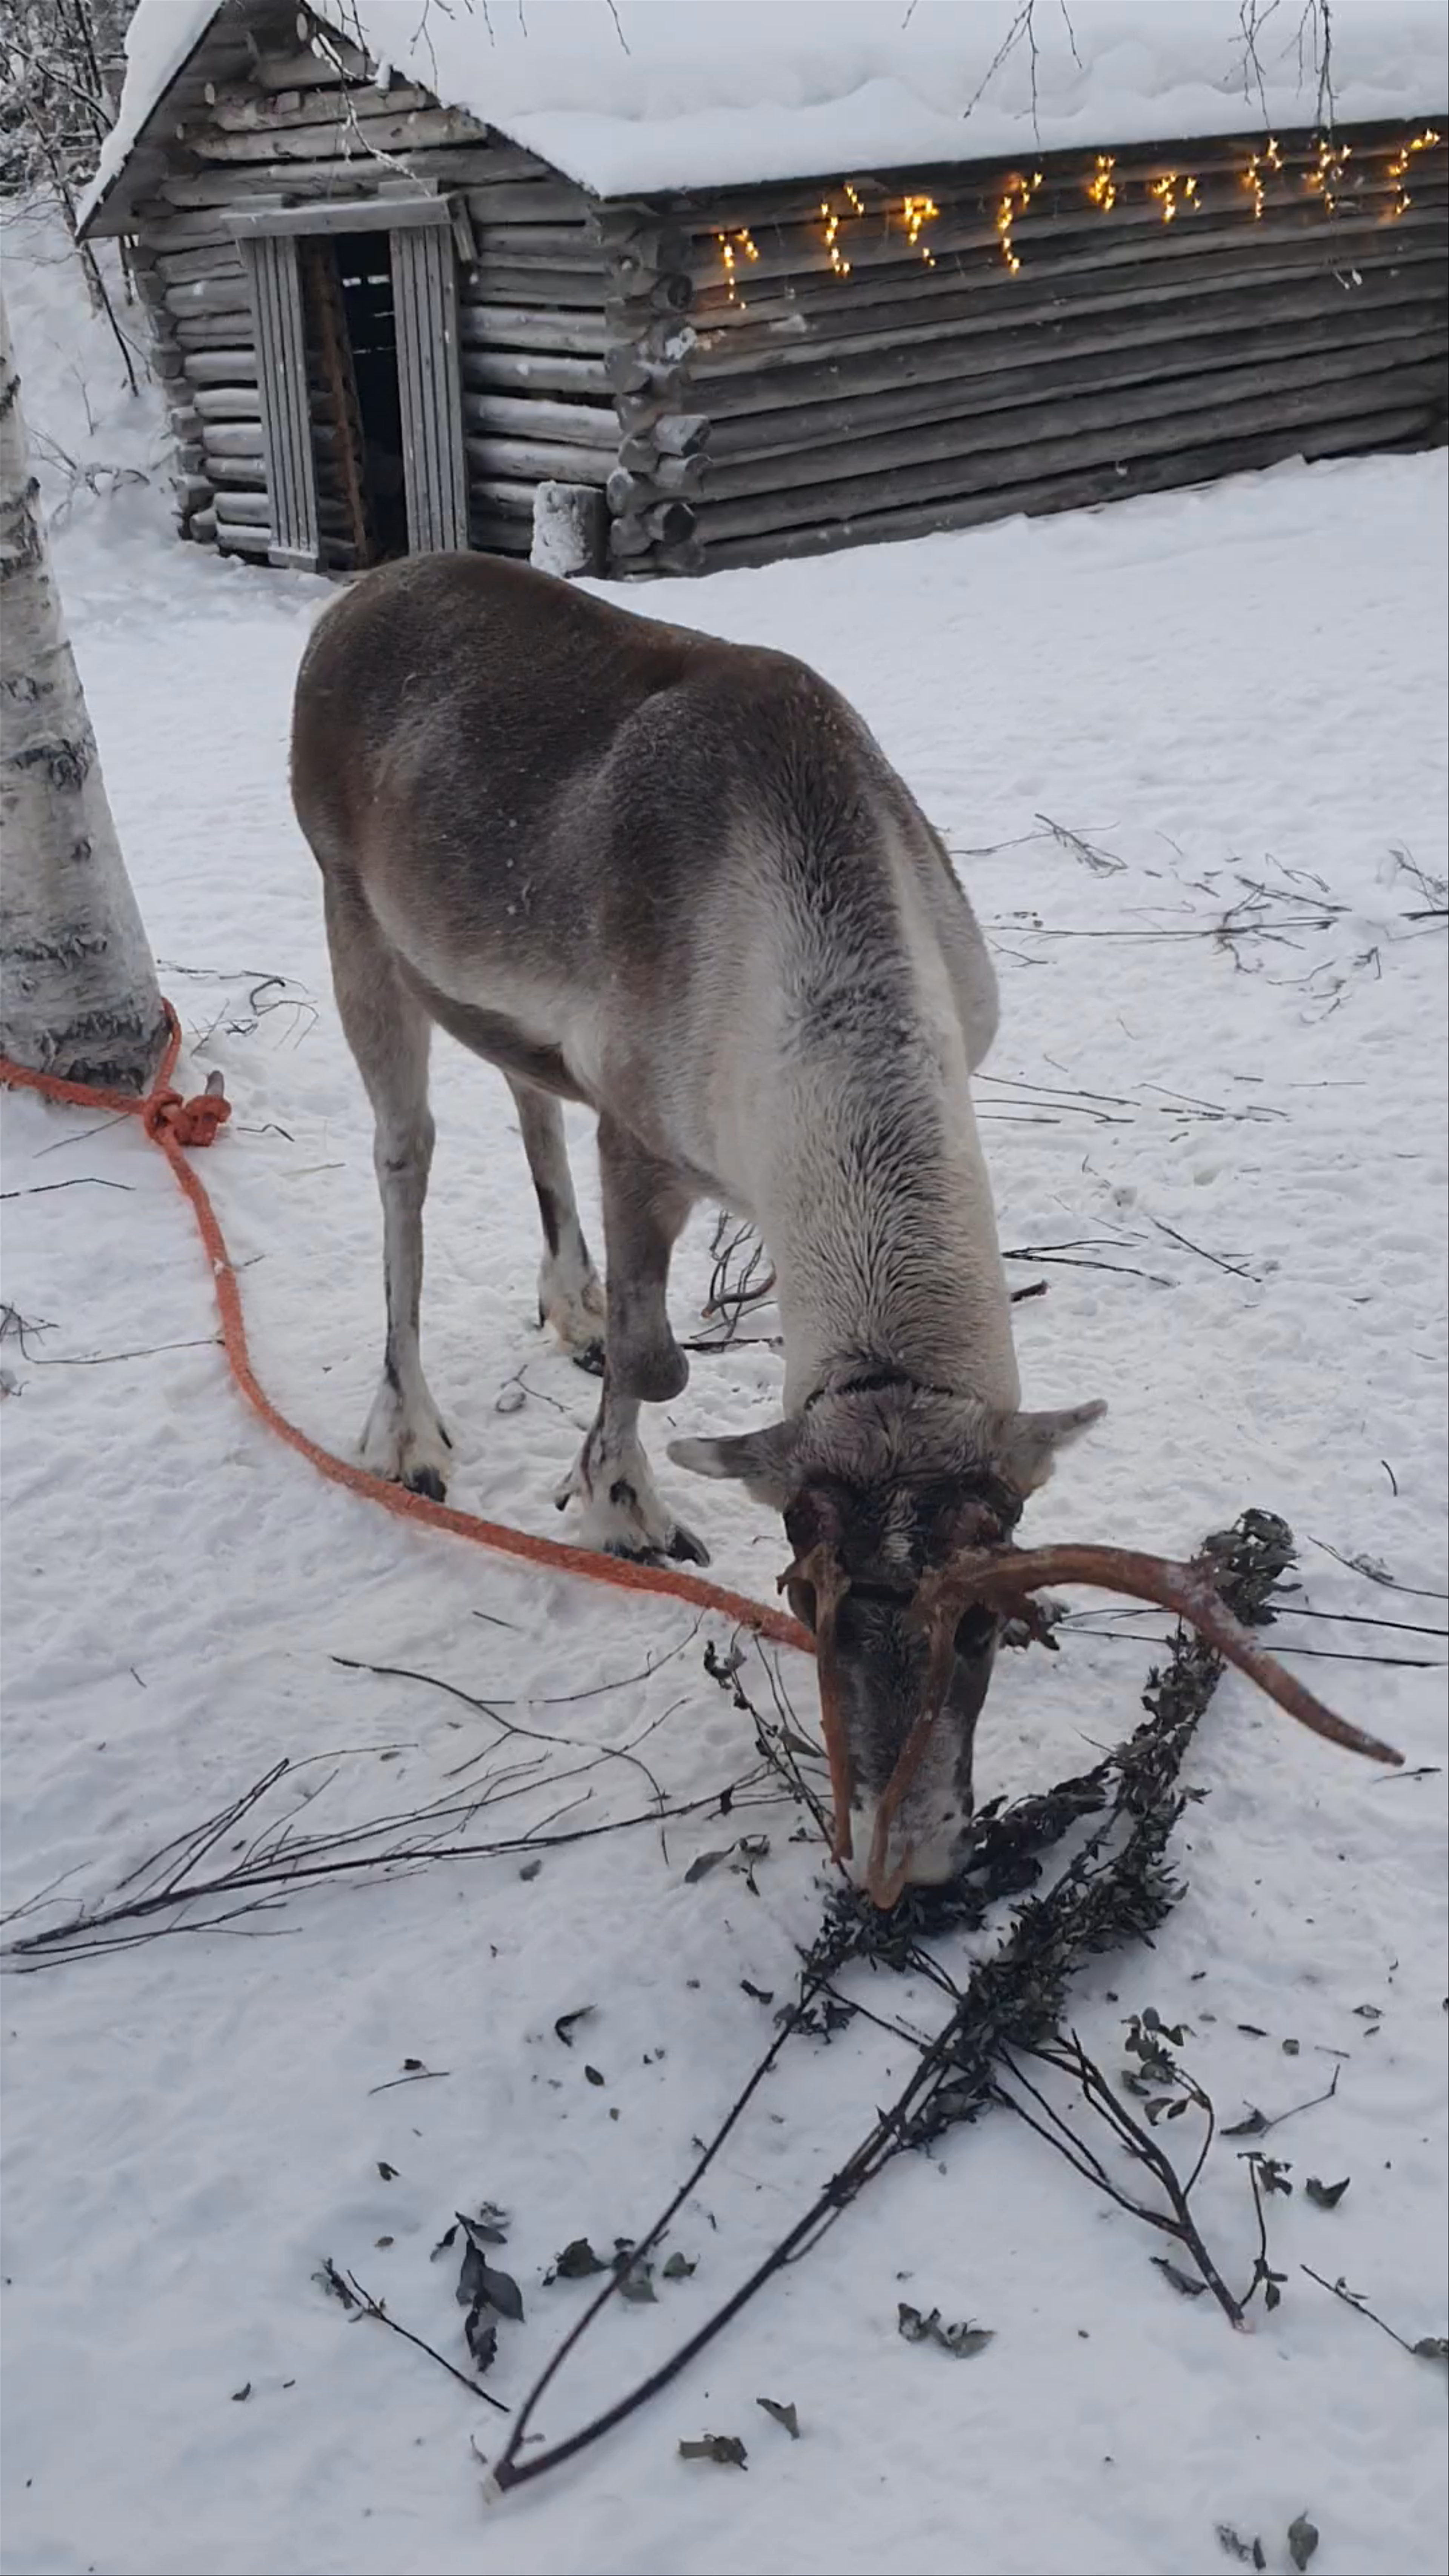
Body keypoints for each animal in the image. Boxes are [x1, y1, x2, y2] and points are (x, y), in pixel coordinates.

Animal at [291, 554, 1400, 1907]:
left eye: (980, 1621)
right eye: (801, 1590)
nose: (909, 1857)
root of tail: (354, 598)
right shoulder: (642, 1132)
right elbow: (660, 1364)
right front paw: (621, 1505)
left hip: (479, 989)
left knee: (522, 1095)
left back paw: (568, 1299)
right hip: (356, 923)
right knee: (405, 1155)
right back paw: (407, 1427)